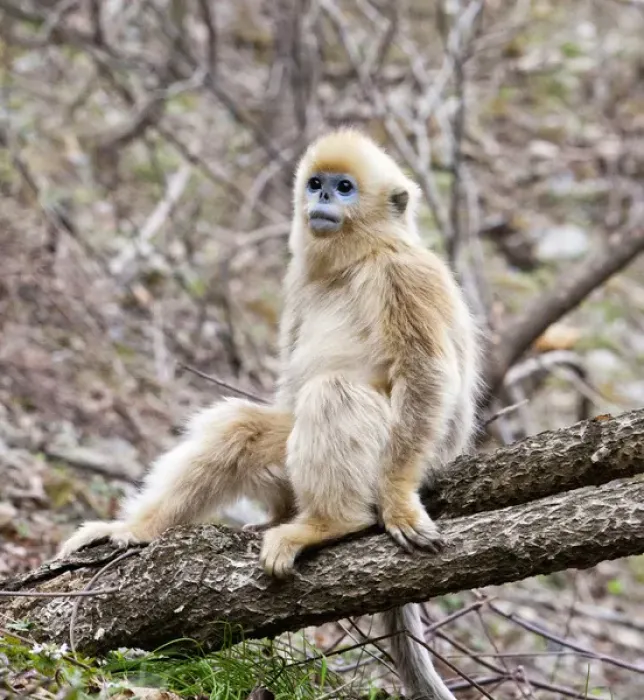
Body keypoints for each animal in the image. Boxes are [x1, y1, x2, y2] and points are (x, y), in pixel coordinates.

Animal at [57, 128, 481, 700]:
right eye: (317, 184)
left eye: (345, 188)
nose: (321, 200)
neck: (357, 261)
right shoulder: (298, 282)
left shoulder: (406, 275)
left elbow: (428, 375)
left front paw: (396, 503)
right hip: (285, 459)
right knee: (243, 426)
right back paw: (140, 529)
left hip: (410, 452)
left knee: (333, 393)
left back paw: (329, 523)